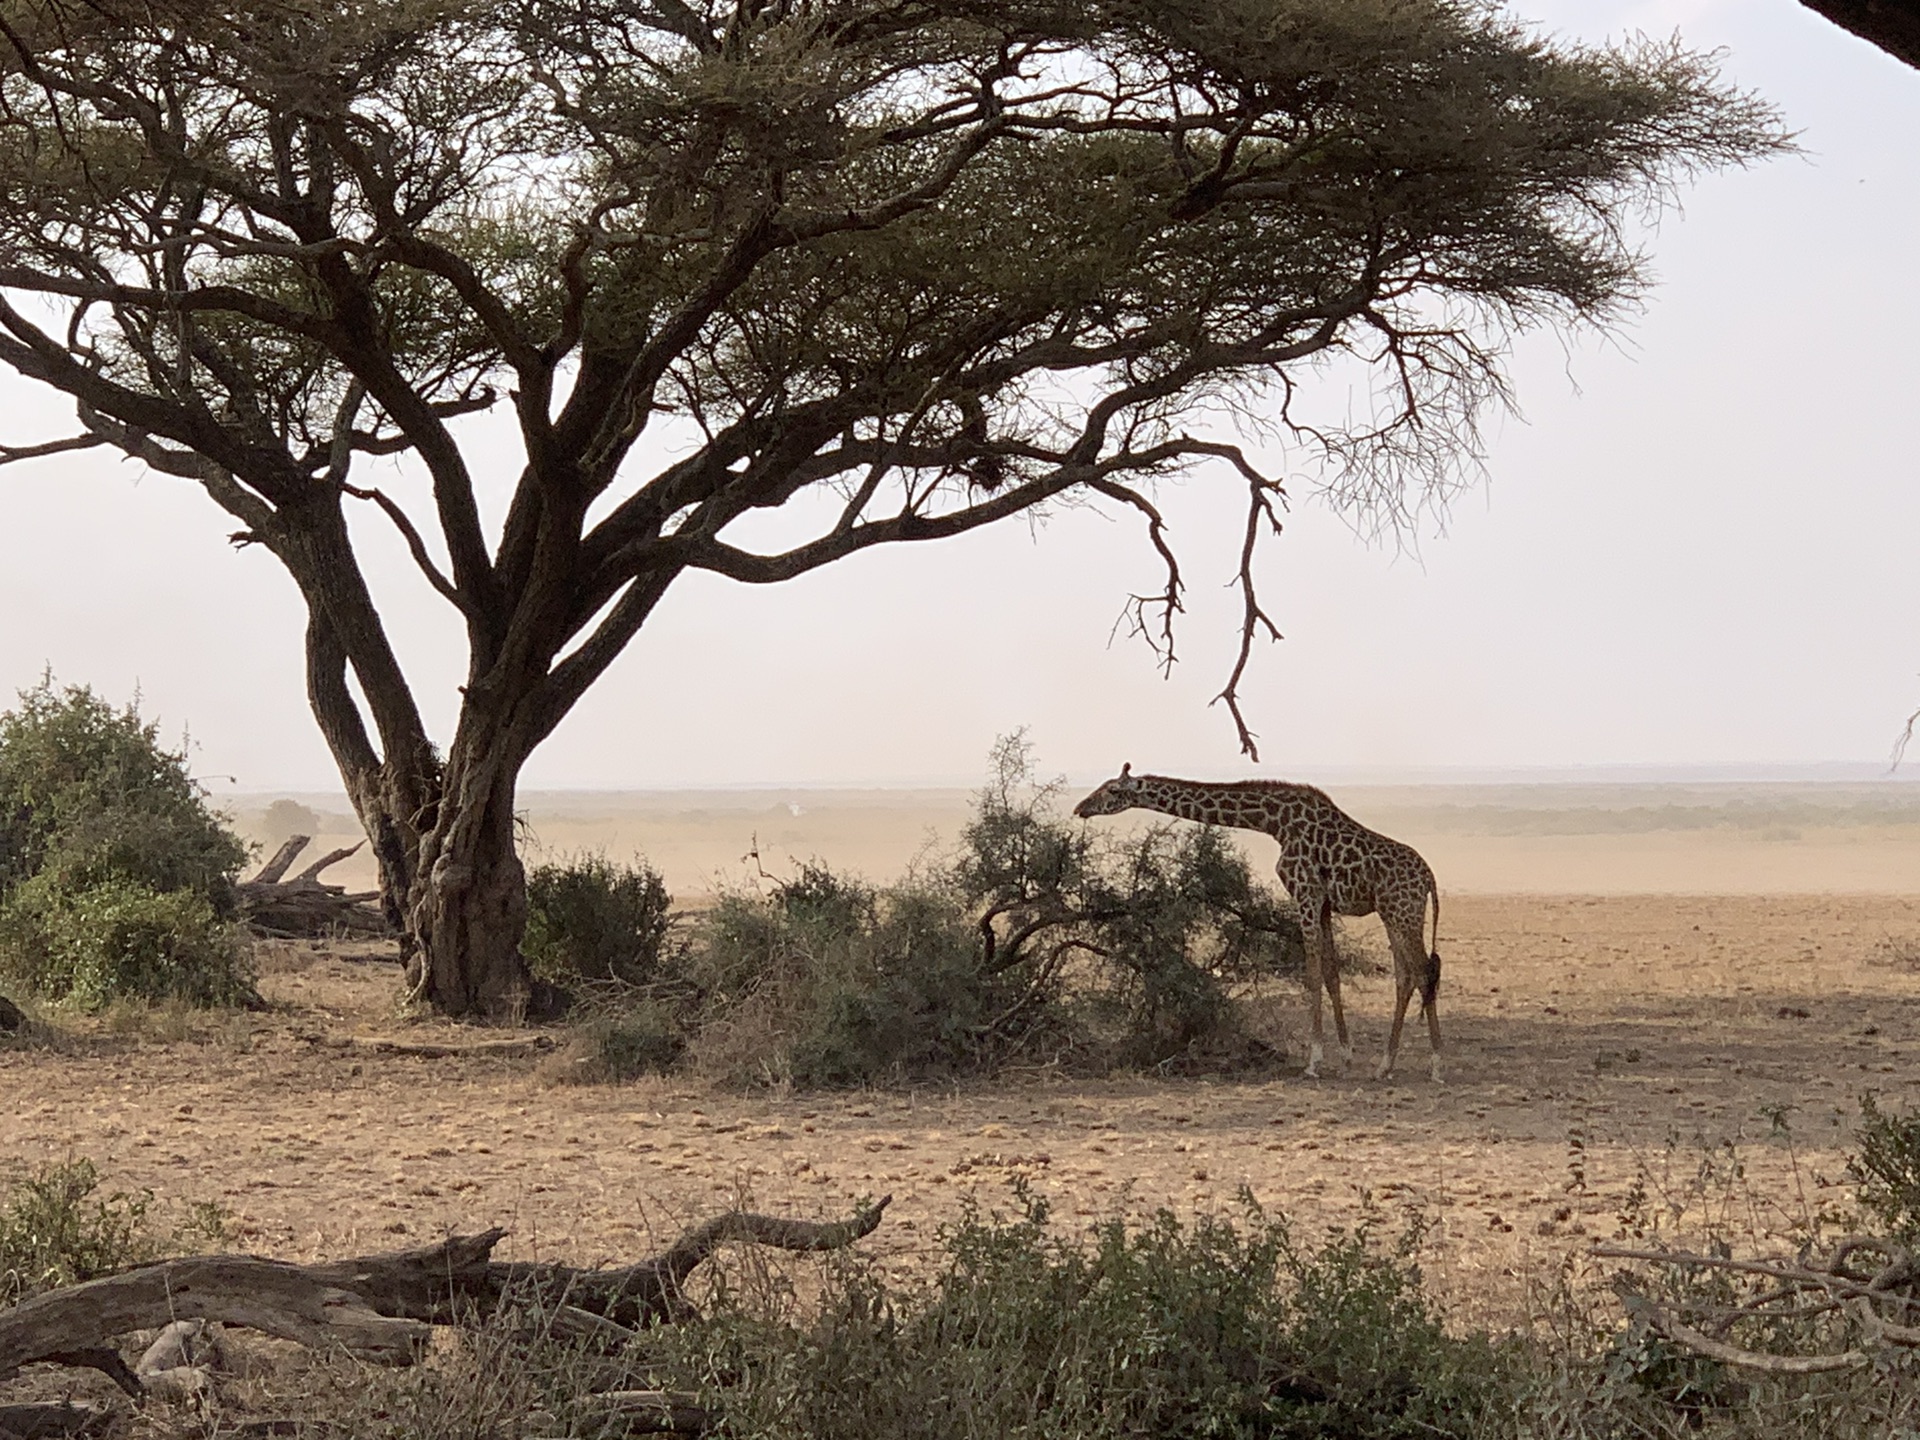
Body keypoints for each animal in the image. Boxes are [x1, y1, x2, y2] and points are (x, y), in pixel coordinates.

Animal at [1082, 768, 1443, 1082]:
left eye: (1112, 790)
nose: (1080, 807)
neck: (1274, 822)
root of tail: (1430, 878)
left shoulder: (1305, 894)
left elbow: (1313, 975)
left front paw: (1314, 1062)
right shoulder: (1323, 903)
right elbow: (1331, 975)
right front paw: (1345, 1057)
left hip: (1404, 912)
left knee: (1423, 973)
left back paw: (1437, 1064)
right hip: (1391, 914)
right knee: (1405, 977)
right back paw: (1384, 1065)